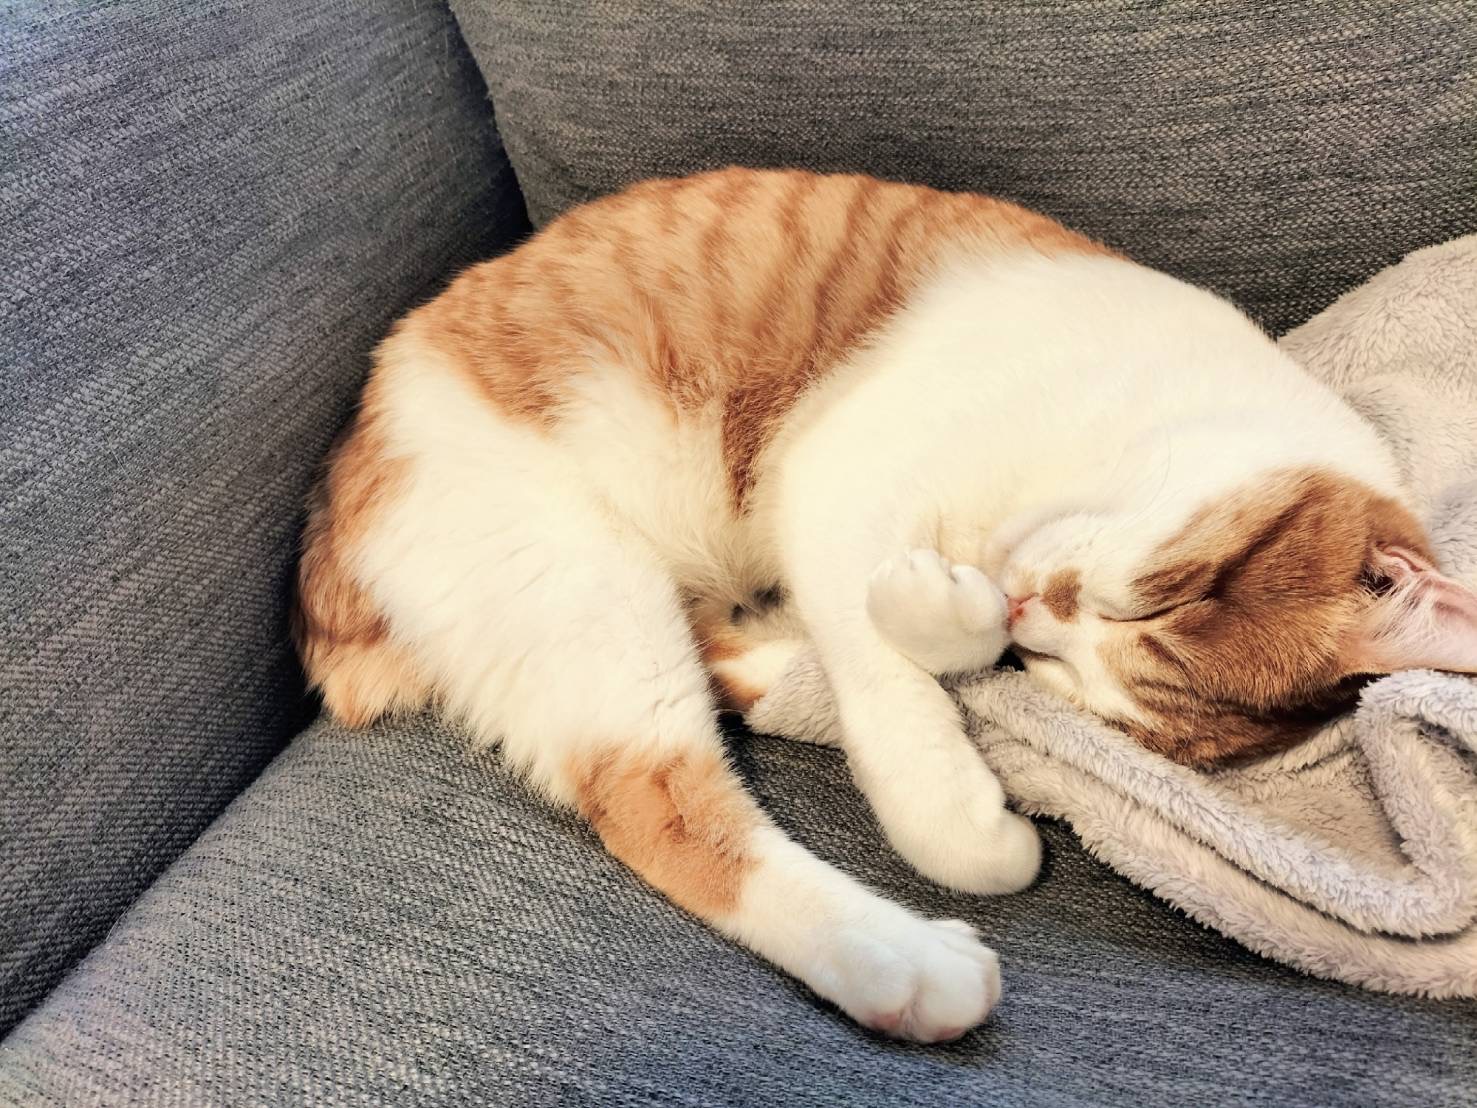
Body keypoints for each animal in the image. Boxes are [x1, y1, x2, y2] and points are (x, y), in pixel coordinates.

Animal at [293, 167, 1477, 1042]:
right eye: (1165, 596)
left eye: (1075, 669)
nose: (1033, 610)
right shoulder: (840, 482)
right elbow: (893, 683)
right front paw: (966, 806)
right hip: (573, 583)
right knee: (665, 809)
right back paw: (905, 967)